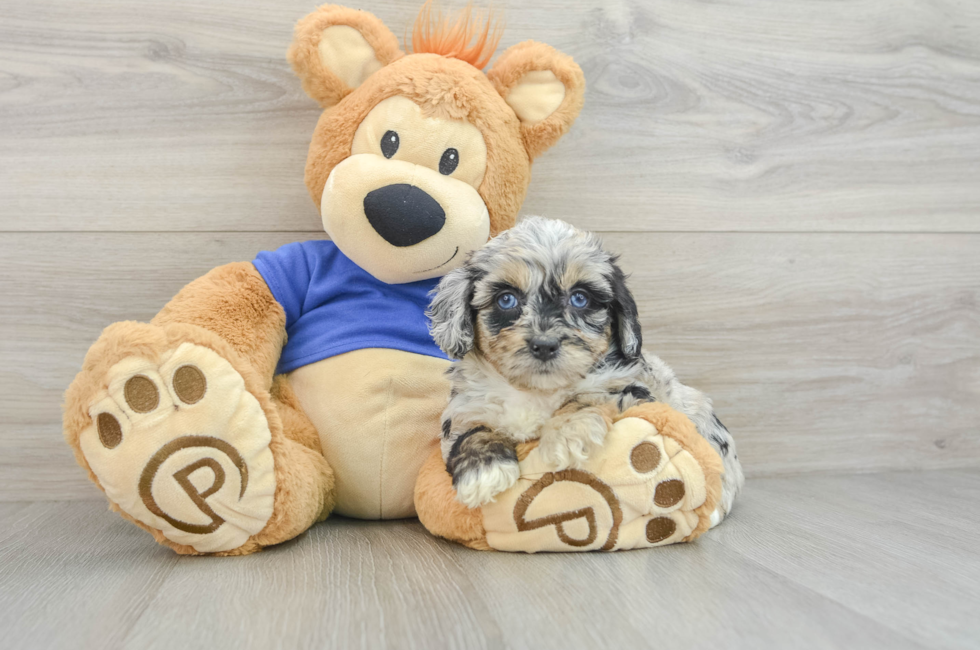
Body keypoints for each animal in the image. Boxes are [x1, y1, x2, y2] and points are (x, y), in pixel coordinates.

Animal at [428, 215, 744, 524]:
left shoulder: (633, 388)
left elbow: (587, 396)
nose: (545, 345)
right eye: (506, 299)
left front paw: (566, 435)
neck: (536, 391)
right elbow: (471, 433)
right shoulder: (465, 408)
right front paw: (483, 473)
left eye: (580, 298)